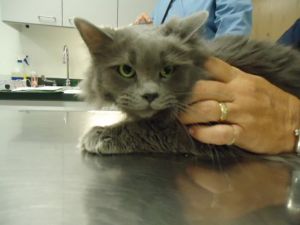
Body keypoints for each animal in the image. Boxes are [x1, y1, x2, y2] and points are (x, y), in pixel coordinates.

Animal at [74, 11, 300, 156]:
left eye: (167, 70)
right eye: (126, 70)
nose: (150, 95)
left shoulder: (207, 134)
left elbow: (150, 129)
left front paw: (100, 134)